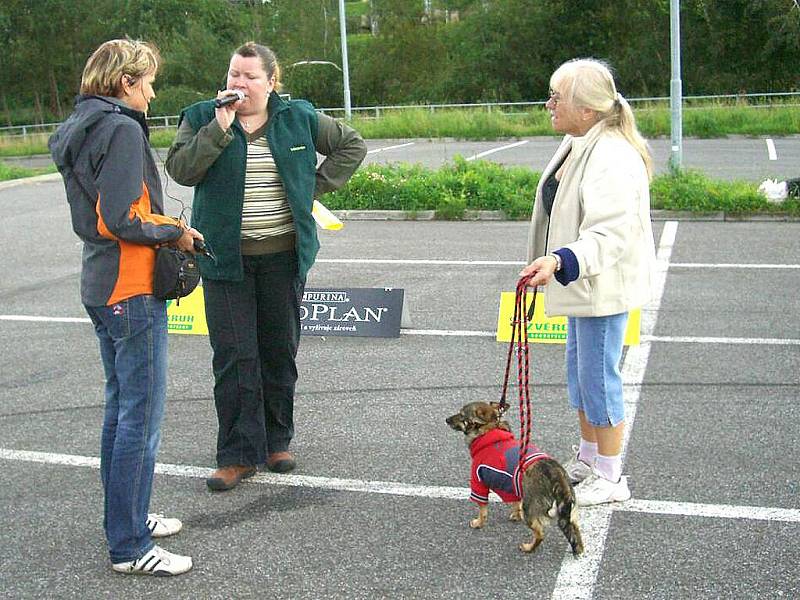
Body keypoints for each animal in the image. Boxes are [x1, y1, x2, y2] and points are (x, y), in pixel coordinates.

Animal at [446, 400, 584, 556]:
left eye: (461, 415)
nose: (446, 420)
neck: (489, 431)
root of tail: (556, 476)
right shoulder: (512, 486)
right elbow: (515, 503)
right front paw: (515, 515)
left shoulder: (478, 483)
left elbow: (482, 510)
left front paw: (478, 523)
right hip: (570, 514)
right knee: (575, 532)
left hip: (530, 510)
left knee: (540, 533)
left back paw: (529, 547)